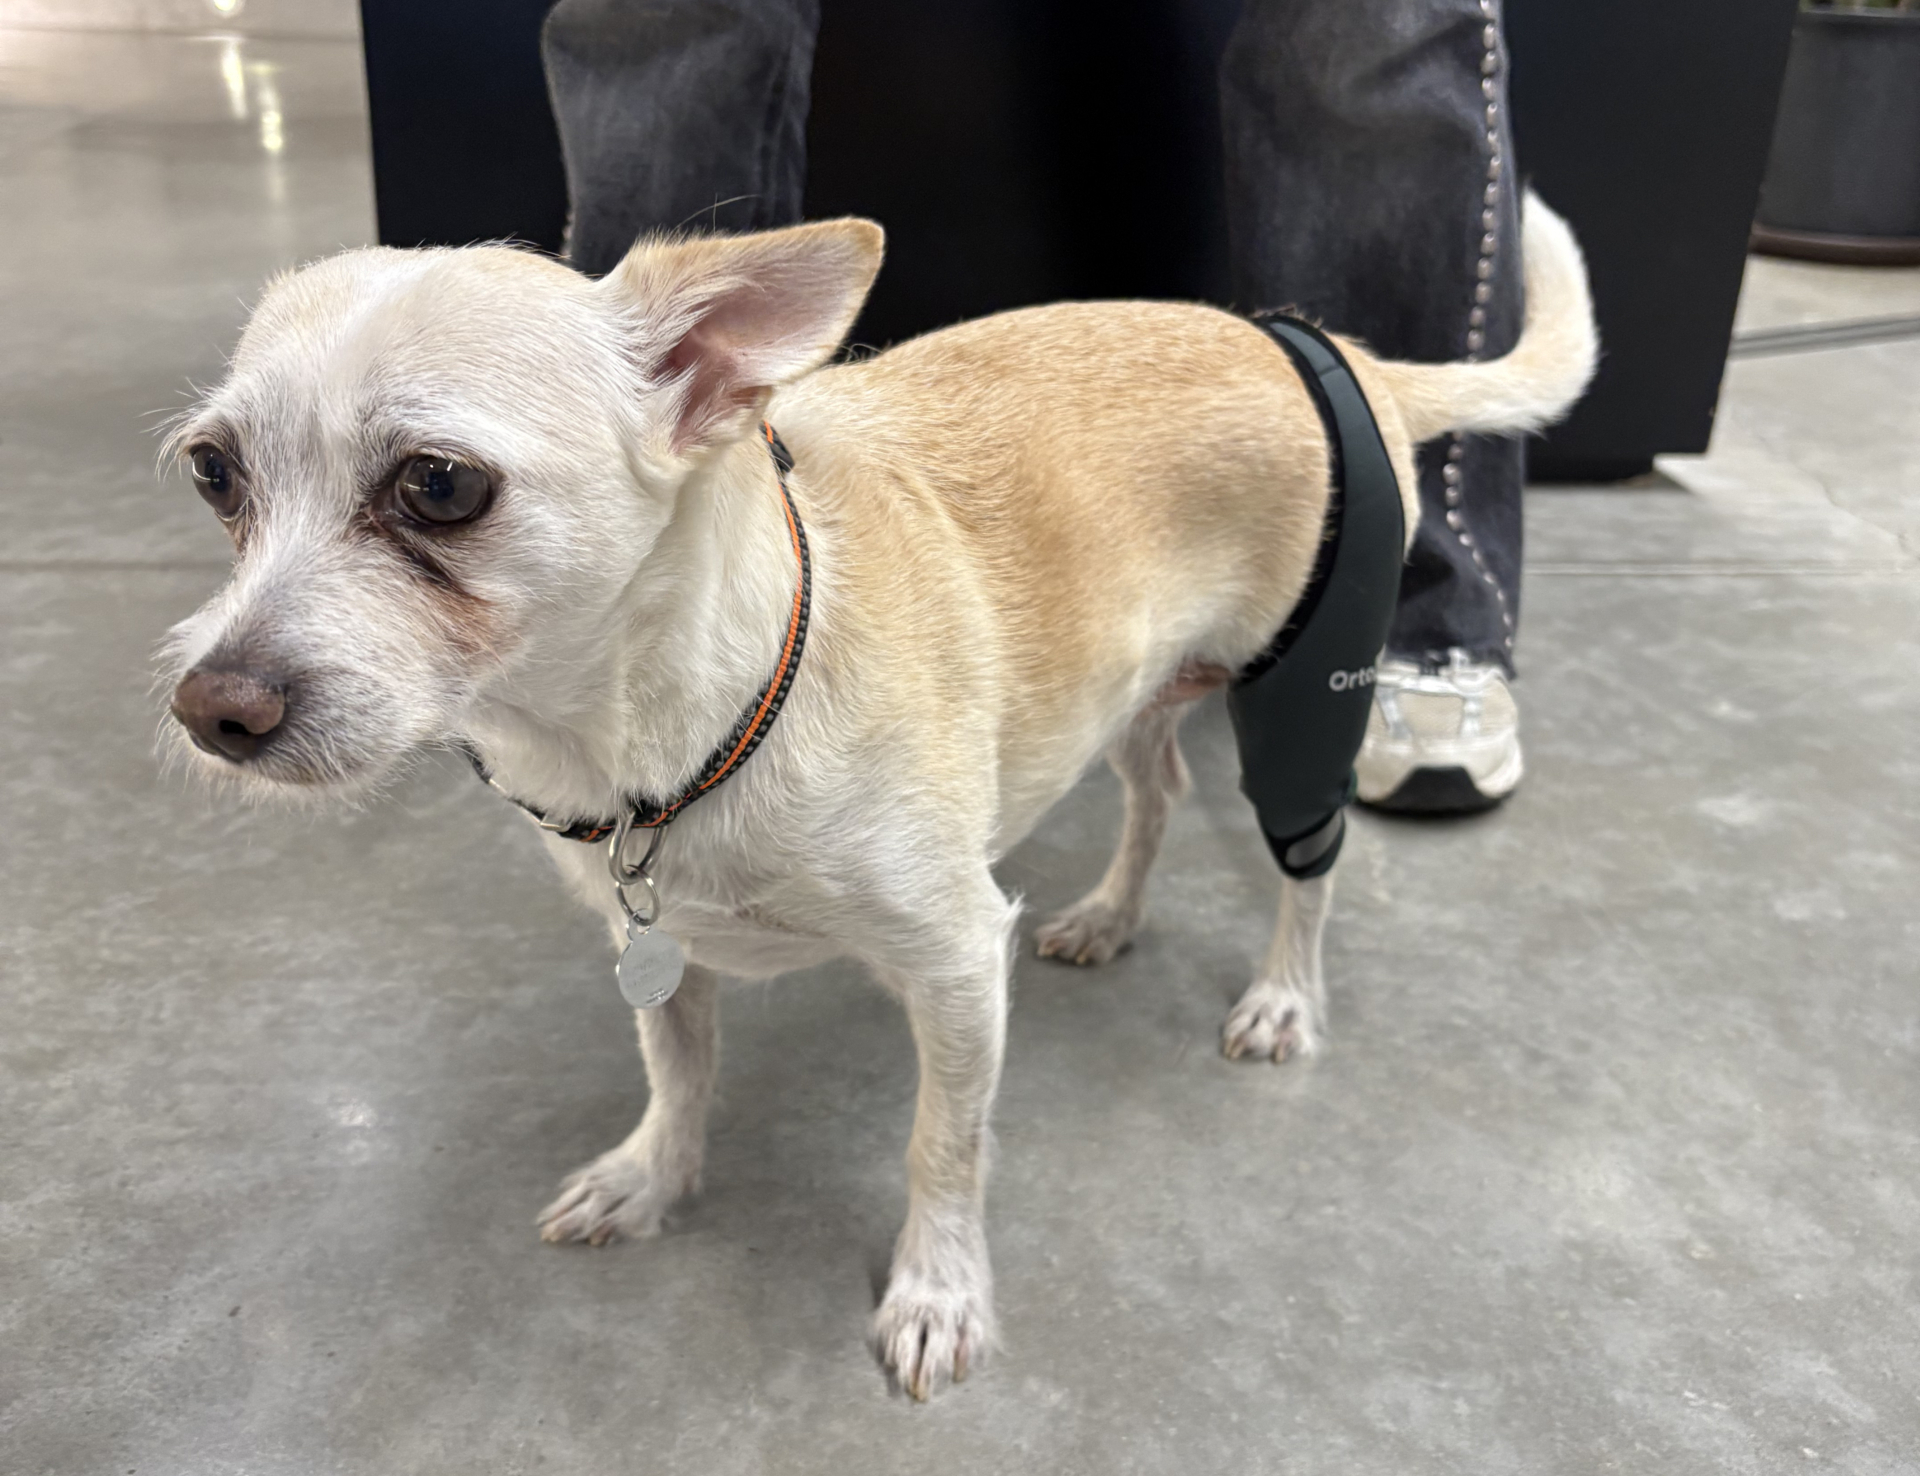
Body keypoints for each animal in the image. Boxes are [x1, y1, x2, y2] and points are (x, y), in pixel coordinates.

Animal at [161, 193, 1594, 1399]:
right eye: (214, 474)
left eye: (441, 484)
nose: (211, 707)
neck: (666, 726)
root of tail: (1332, 345)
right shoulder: (655, 950)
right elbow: (677, 1072)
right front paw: (654, 1179)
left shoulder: (957, 968)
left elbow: (941, 1146)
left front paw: (938, 1293)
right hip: (1129, 698)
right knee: (1159, 790)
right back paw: (1112, 913)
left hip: (1304, 711)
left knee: (1311, 869)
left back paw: (1286, 993)